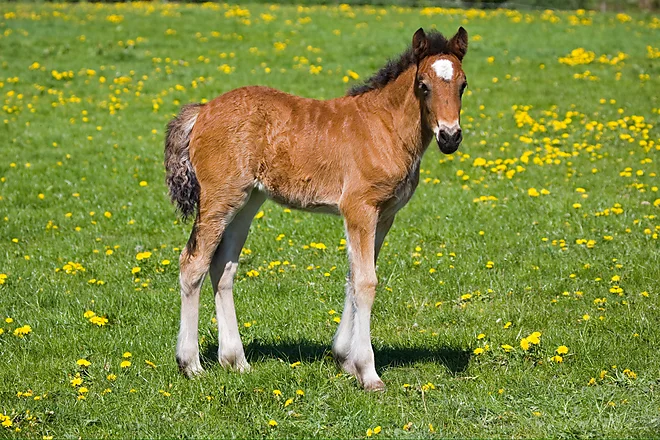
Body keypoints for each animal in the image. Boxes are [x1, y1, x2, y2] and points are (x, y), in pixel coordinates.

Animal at [165, 27, 468, 391]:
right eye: (423, 85)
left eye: (463, 85)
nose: (450, 137)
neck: (385, 127)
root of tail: (203, 110)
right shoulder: (359, 208)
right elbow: (366, 282)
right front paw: (368, 372)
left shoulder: (384, 216)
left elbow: (355, 276)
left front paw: (344, 359)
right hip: (220, 197)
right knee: (192, 263)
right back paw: (190, 364)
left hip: (248, 202)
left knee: (222, 267)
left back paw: (235, 360)